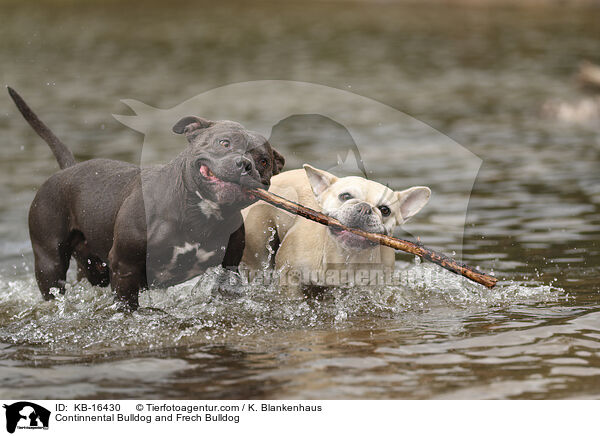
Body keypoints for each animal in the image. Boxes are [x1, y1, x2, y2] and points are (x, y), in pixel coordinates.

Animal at [7, 87, 284, 308]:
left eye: (263, 161)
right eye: (224, 143)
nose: (245, 164)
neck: (199, 213)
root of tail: (68, 169)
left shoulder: (229, 266)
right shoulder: (125, 266)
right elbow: (127, 304)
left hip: (92, 266)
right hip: (49, 261)